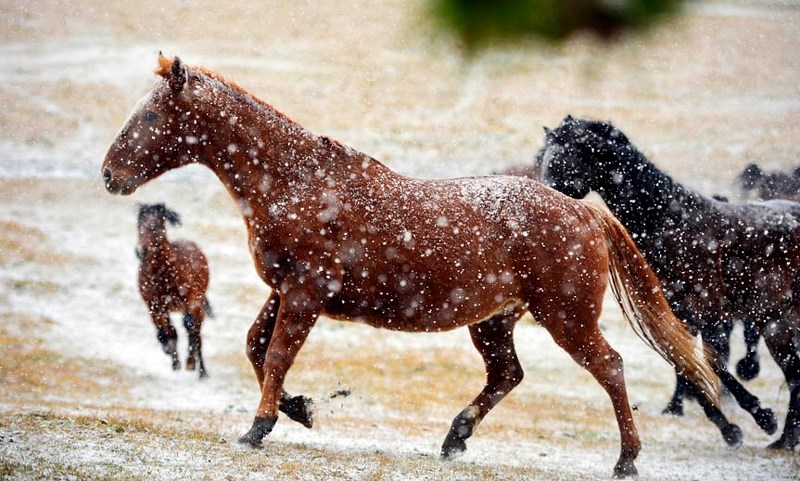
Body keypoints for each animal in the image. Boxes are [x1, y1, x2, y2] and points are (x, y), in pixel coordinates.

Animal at [138, 202, 212, 378]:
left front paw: (189, 363)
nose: (141, 252)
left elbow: (188, 328)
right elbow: (167, 333)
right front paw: (173, 360)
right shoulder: (154, 307)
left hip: (197, 303)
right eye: (138, 225)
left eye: (156, 227)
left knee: (195, 332)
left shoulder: (192, 299)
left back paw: (199, 370)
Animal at [536, 117, 800, 450]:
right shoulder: (674, 316)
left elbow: (712, 363)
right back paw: (785, 440)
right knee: (794, 373)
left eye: (565, 159)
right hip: (777, 323)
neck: (672, 224)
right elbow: (686, 366)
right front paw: (729, 428)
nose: (547, 209)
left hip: (774, 323)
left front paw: (761, 417)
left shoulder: (709, 315)